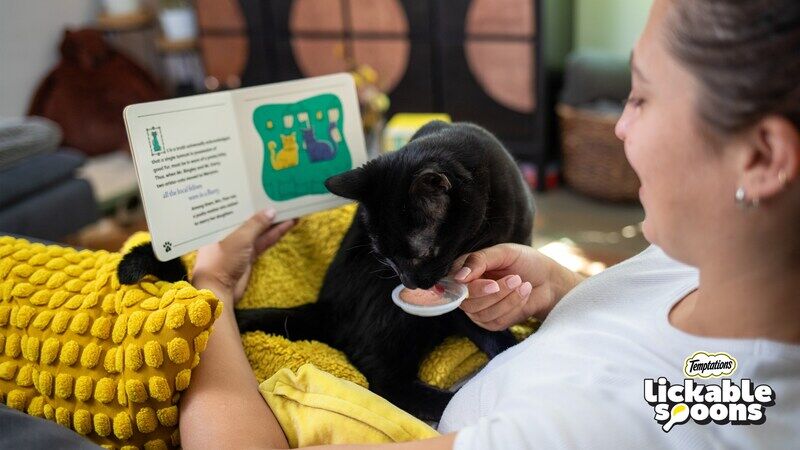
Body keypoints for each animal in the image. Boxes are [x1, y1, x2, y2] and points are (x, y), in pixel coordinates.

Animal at [236, 121, 535, 421]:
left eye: (421, 255)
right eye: (384, 257)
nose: (409, 283)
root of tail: (327, 307)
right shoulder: (457, 308)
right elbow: (486, 331)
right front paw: (514, 354)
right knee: (384, 382)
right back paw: (450, 403)